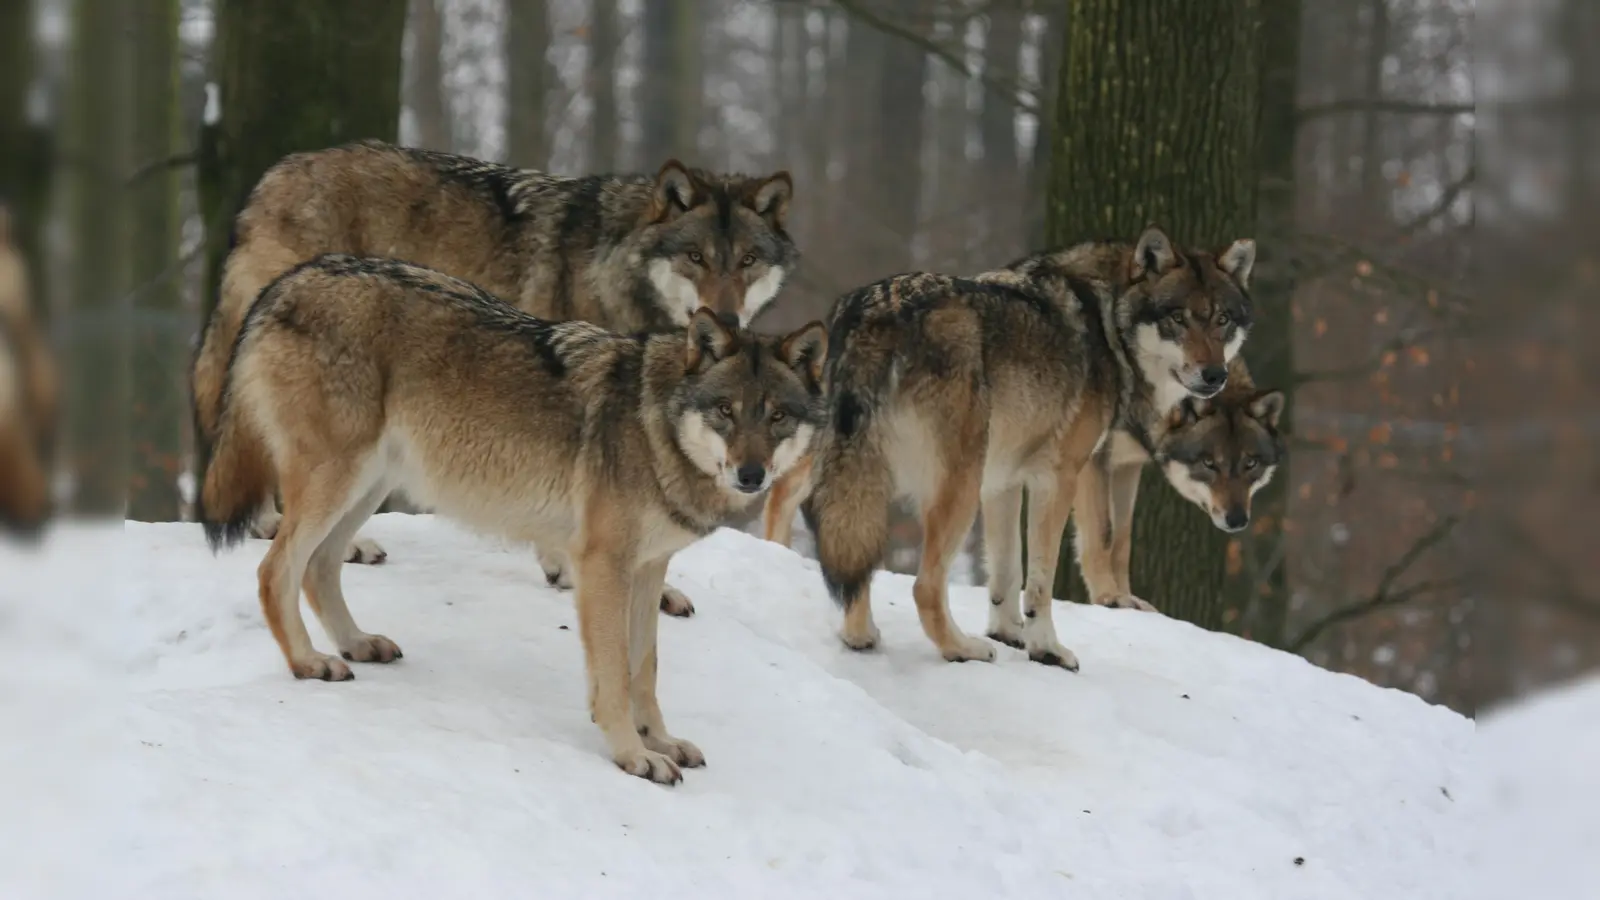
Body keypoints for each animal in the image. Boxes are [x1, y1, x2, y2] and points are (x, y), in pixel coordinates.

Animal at [189, 140, 798, 596]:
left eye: (747, 261)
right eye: (695, 258)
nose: (725, 316)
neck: (612, 265)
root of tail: (271, 177)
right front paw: (563, 566)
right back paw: (289, 528)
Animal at [198, 254, 826, 784]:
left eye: (777, 417)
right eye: (725, 411)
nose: (751, 475)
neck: (654, 426)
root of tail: (291, 278)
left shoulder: (648, 571)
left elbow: (645, 669)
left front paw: (661, 741)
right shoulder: (602, 567)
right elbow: (615, 676)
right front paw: (633, 755)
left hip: (369, 484)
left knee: (320, 566)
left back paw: (357, 643)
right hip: (339, 480)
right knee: (275, 569)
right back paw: (308, 662)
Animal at [793, 227, 1255, 669]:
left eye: (1222, 319)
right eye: (1178, 318)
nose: (1215, 375)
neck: (1108, 323)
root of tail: (874, 311)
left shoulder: (1002, 483)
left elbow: (1005, 573)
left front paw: (1007, 633)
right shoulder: (1059, 478)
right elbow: (1040, 582)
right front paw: (1046, 649)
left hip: (868, 478)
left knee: (853, 559)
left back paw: (860, 637)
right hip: (957, 488)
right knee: (924, 586)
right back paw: (961, 649)